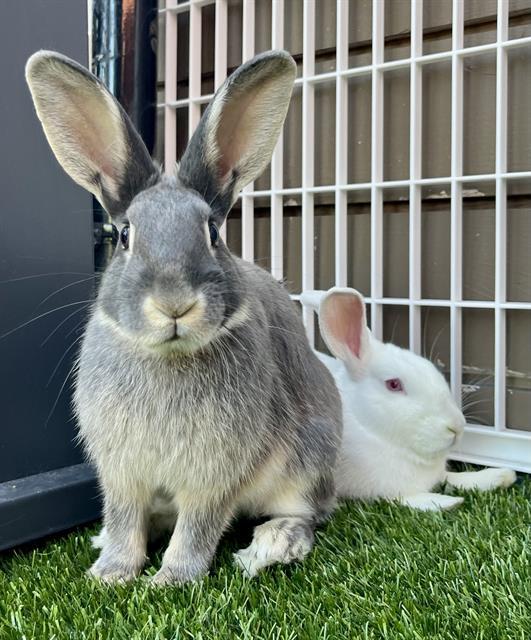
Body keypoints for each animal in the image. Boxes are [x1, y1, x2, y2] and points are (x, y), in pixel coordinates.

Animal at [25, 50, 342, 583]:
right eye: (124, 236)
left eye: (213, 232)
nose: (174, 304)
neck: (168, 357)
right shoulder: (122, 474)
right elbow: (125, 520)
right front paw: (110, 574)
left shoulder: (214, 476)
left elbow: (197, 527)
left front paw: (172, 580)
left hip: (307, 462)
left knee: (309, 516)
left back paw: (272, 545)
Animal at [300, 288, 516, 511]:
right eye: (394, 384)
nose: (457, 426)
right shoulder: (383, 490)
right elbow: (404, 498)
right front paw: (448, 501)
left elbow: (454, 478)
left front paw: (501, 475)